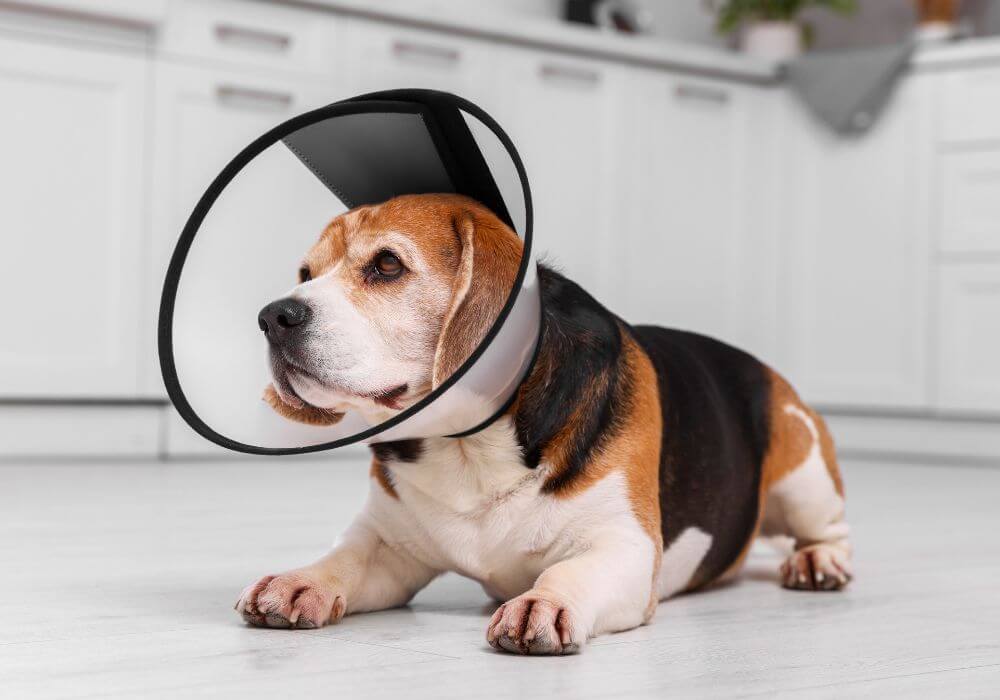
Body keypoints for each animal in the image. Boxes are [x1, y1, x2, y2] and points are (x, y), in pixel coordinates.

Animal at [236, 193, 852, 656]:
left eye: (387, 264)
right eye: (305, 273)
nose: (272, 316)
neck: (469, 445)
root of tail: (766, 370)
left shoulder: (625, 547)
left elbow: (568, 573)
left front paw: (544, 603)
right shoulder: (387, 543)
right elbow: (345, 556)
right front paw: (302, 580)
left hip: (803, 477)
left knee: (828, 529)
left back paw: (818, 560)